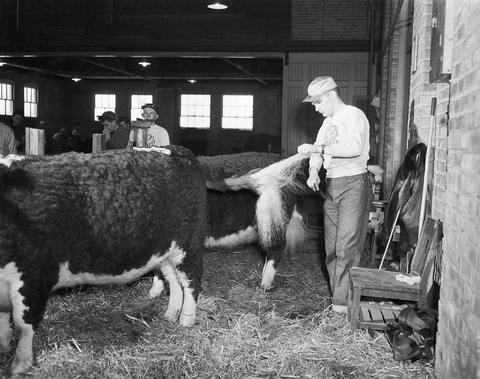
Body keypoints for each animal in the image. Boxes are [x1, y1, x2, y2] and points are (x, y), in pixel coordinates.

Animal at [0, 146, 204, 378]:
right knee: (174, 282)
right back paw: (171, 315)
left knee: (191, 283)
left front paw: (19, 366)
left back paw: (186, 321)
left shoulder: (34, 276)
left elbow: (24, 325)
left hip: (188, 246)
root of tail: (177, 150)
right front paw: (4, 346)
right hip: (165, 253)